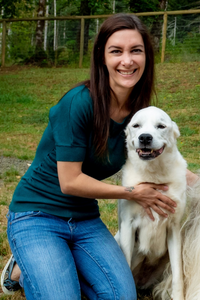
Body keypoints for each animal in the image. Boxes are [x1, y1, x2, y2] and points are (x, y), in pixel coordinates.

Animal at [115, 107, 188, 300]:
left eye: (161, 126)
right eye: (136, 125)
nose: (145, 138)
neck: (154, 176)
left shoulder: (174, 227)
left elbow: (178, 275)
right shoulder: (128, 225)